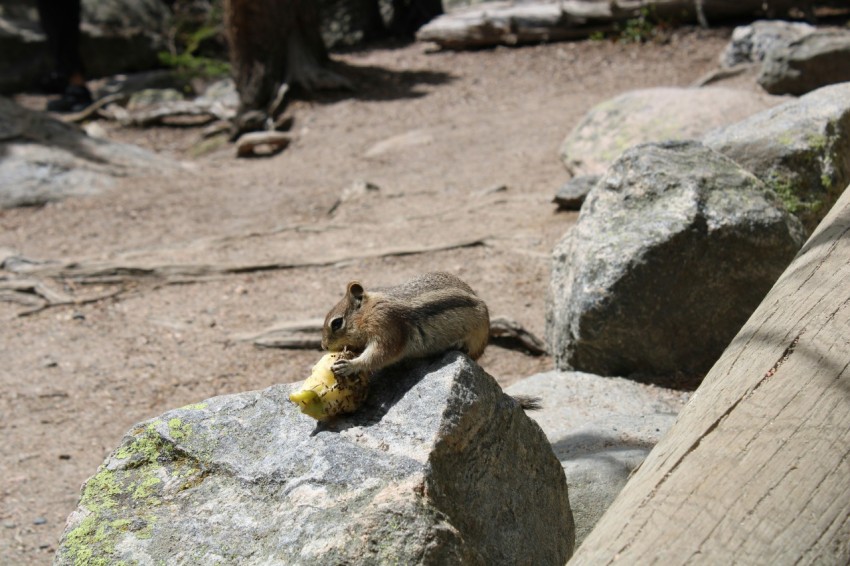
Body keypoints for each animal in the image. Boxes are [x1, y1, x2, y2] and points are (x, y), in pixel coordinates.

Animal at [321, 272, 541, 410]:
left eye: (337, 323)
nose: (323, 346)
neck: (367, 311)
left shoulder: (386, 326)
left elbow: (380, 354)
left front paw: (349, 365)